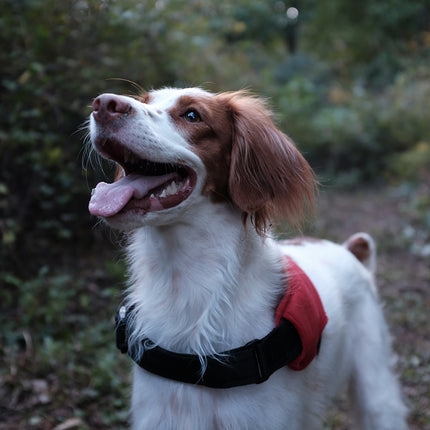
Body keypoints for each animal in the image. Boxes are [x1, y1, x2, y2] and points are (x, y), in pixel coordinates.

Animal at [86, 88, 406, 430]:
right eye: (145, 100)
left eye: (192, 115)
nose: (103, 104)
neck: (186, 288)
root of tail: (348, 250)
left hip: (376, 392)